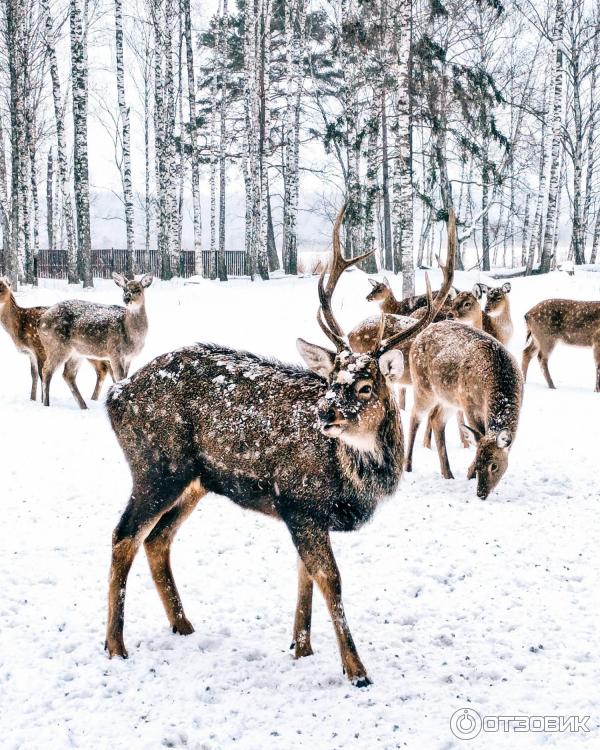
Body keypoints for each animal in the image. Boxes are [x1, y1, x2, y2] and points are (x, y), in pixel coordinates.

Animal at [0, 278, 112, 406]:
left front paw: (42, 401)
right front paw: (32, 399)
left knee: (103, 368)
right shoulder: (31, 353)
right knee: (105, 367)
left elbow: (41, 374)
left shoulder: (39, 348)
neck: (19, 324)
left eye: (2, 288)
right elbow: (33, 375)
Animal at [38, 274, 152, 408]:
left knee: (68, 374)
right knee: (47, 370)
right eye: (124, 289)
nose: (126, 298)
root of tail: (40, 321)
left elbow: (125, 377)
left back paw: (84, 406)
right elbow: (119, 378)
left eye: (138, 289)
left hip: (76, 352)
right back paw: (47, 404)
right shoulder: (114, 351)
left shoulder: (128, 357)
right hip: (56, 346)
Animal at [103, 209, 454, 692]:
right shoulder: (300, 501)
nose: (326, 414)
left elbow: (305, 575)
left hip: (195, 480)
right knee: (123, 536)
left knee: (157, 539)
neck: (353, 481)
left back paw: (183, 625)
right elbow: (331, 580)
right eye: (332, 380)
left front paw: (301, 646)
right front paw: (356, 670)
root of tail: (114, 395)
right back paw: (115, 645)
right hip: (155, 465)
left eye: (366, 386)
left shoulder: (306, 513)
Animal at [406, 322, 524, 502]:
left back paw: (447, 474)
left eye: (494, 466)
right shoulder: (469, 404)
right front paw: (470, 475)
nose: (481, 493)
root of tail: (419, 336)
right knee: (414, 417)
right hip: (423, 387)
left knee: (436, 419)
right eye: (478, 462)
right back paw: (408, 466)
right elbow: (479, 434)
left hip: (449, 398)